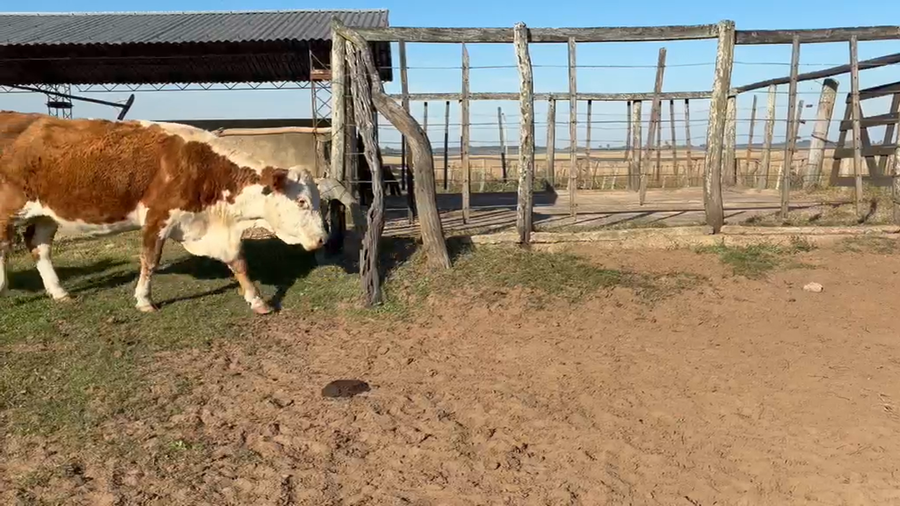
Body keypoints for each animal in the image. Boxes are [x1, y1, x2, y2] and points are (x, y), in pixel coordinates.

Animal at [0, 112, 354, 315]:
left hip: (46, 214)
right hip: (8, 208)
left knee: (39, 247)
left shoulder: (216, 229)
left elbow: (238, 261)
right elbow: (149, 260)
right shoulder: (157, 217)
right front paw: (144, 301)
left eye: (321, 202)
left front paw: (257, 300)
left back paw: (59, 292)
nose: (322, 239)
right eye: (302, 202)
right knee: (4, 247)